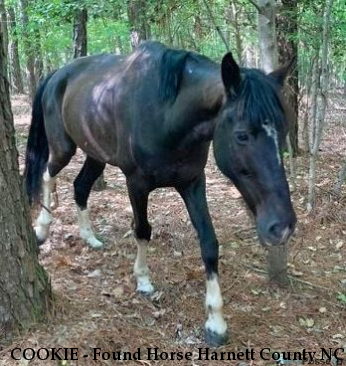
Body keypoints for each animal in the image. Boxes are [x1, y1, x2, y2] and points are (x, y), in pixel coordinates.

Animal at [24, 40, 296, 346]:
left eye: (284, 130)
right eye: (242, 135)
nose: (282, 226)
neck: (167, 114)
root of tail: (57, 74)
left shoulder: (192, 182)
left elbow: (209, 243)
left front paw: (215, 321)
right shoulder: (136, 183)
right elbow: (142, 230)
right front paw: (143, 280)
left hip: (96, 153)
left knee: (80, 187)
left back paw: (89, 237)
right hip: (63, 147)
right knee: (48, 174)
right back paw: (42, 228)